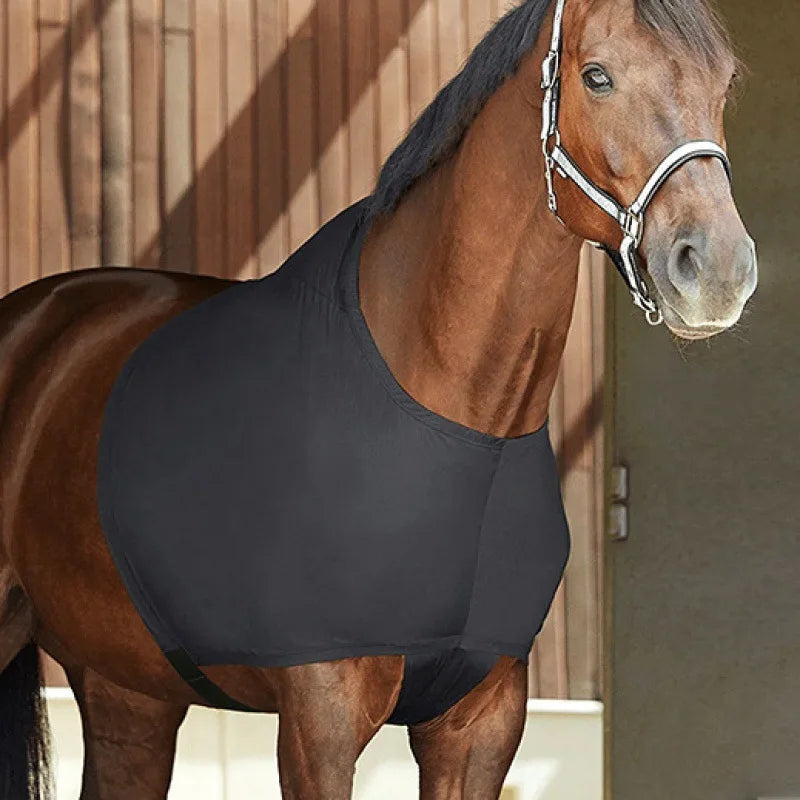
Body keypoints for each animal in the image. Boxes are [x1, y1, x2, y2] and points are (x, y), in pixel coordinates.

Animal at [0, 0, 757, 797]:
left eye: (725, 83)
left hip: (129, 694)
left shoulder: (482, 723)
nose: (717, 270)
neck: (459, 424)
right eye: (598, 76)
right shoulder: (321, 724)